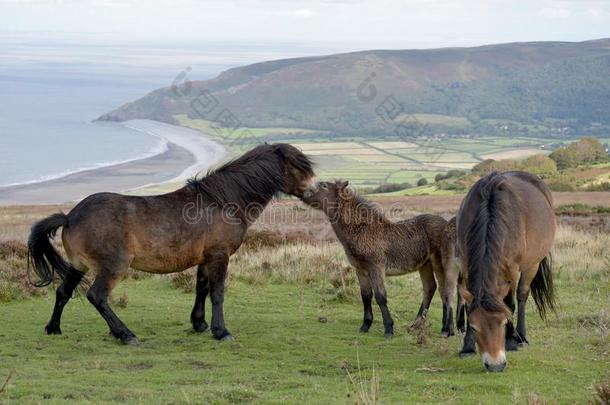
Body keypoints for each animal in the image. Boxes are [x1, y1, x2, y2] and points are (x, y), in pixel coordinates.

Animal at [28, 144, 314, 342]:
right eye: (298, 166)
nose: (314, 190)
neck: (222, 202)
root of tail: (70, 216)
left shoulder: (206, 258)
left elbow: (202, 288)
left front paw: (199, 324)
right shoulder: (220, 256)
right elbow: (218, 293)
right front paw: (221, 331)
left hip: (79, 265)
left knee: (63, 292)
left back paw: (54, 328)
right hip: (113, 267)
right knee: (97, 296)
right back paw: (125, 334)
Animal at [300, 181, 452, 338]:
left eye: (324, 186)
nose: (303, 194)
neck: (363, 229)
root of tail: (447, 224)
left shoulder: (376, 267)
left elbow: (380, 296)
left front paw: (389, 329)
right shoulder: (360, 269)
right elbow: (366, 296)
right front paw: (365, 325)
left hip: (439, 263)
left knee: (445, 290)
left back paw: (446, 329)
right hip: (425, 265)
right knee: (430, 288)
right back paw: (416, 325)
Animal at [454, 170, 552, 370]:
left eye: (503, 322)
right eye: (474, 327)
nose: (495, 365)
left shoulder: (512, 270)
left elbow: (510, 304)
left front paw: (511, 341)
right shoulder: (466, 265)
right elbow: (468, 304)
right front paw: (467, 347)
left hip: (532, 264)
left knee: (522, 295)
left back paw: (521, 337)